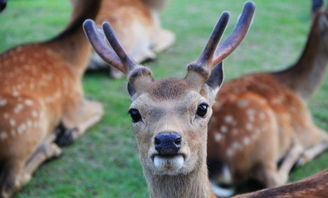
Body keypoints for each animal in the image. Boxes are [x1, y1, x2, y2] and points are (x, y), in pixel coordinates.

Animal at [0, 0, 104, 196]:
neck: (75, 65)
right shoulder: (73, 101)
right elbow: (102, 107)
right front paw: (69, 134)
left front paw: (66, 133)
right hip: (29, 118)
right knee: (9, 184)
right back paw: (51, 147)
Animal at [208, 0, 328, 196]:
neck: (300, 92)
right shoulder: (303, 125)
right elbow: (326, 136)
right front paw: (302, 156)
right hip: (263, 132)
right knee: (273, 178)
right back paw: (295, 153)